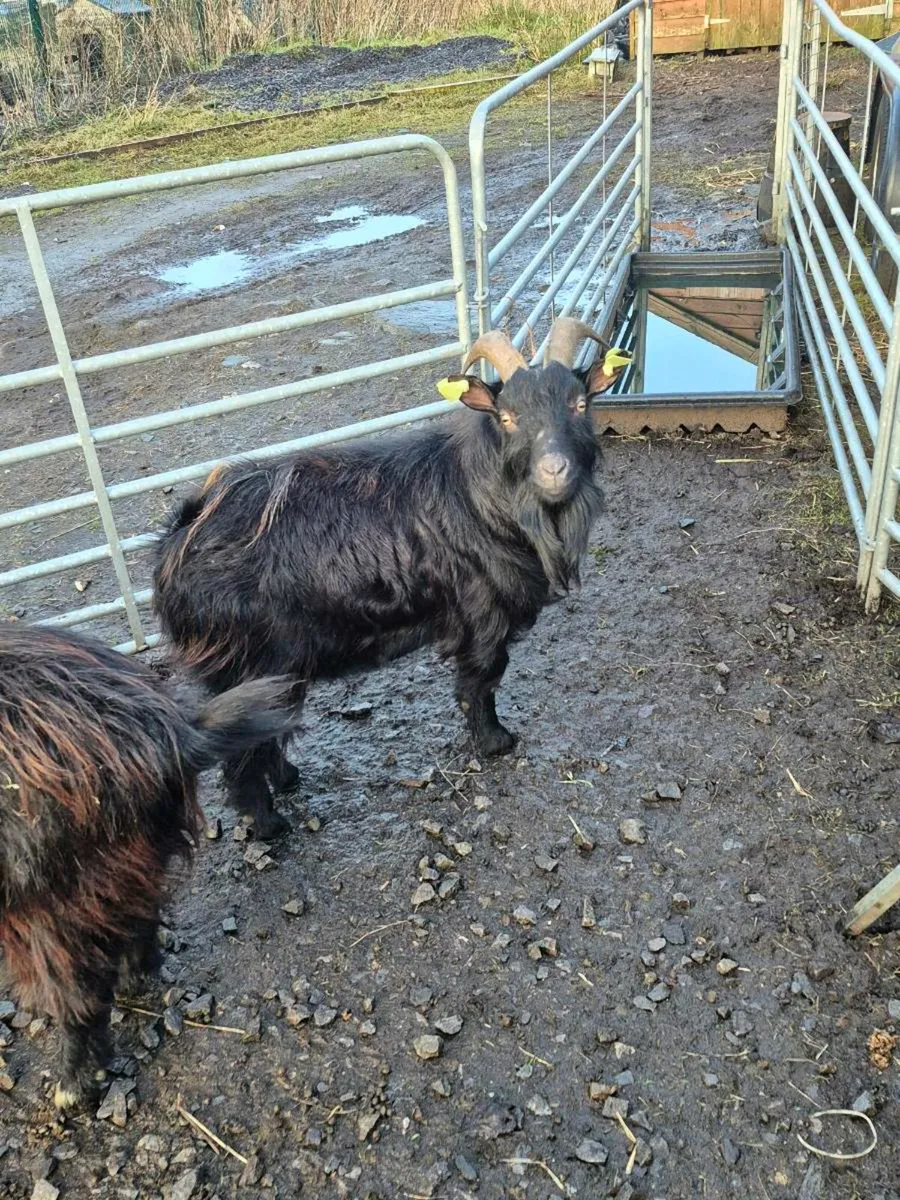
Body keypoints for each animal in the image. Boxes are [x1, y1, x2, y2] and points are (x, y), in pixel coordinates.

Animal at [0, 622, 297, 1110]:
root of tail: (164, 731)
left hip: (49, 903)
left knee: (79, 995)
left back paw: (71, 1088)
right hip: (129, 860)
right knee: (140, 921)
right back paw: (133, 983)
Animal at [153, 318, 618, 838]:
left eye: (580, 404)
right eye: (507, 417)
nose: (554, 469)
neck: (483, 497)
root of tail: (179, 537)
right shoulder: (482, 615)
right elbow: (481, 681)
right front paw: (496, 742)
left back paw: (289, 778)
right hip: (246, 664)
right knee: (242, 753)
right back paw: (270, 824)